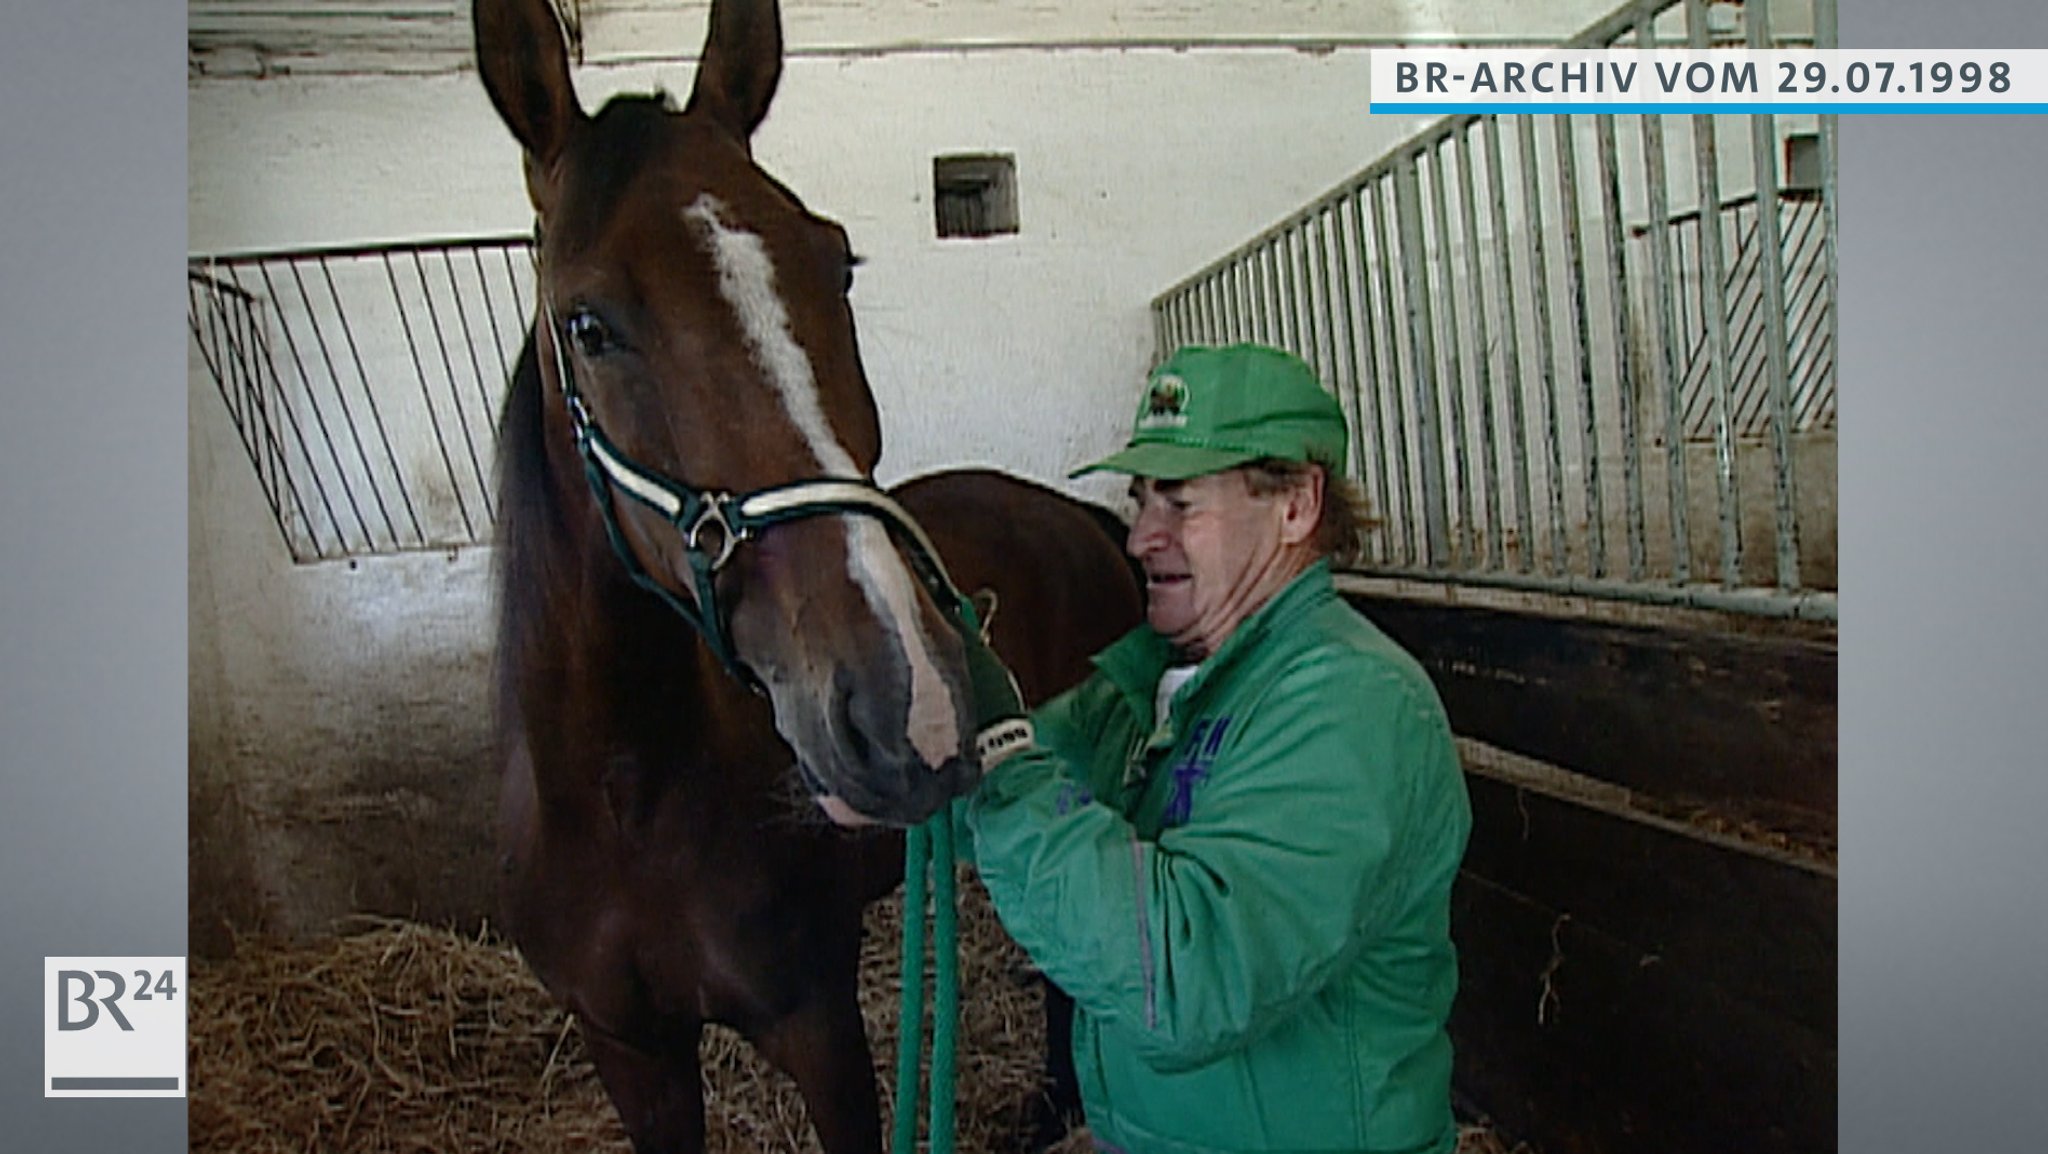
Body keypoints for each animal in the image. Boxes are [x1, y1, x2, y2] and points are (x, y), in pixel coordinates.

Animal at [475, 2, 1138, 1154]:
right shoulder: (631, 1051)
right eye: (587, 325)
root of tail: (1073, 515)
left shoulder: (817, 1025)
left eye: (838, 266)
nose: (908, 705)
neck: (625, 798)